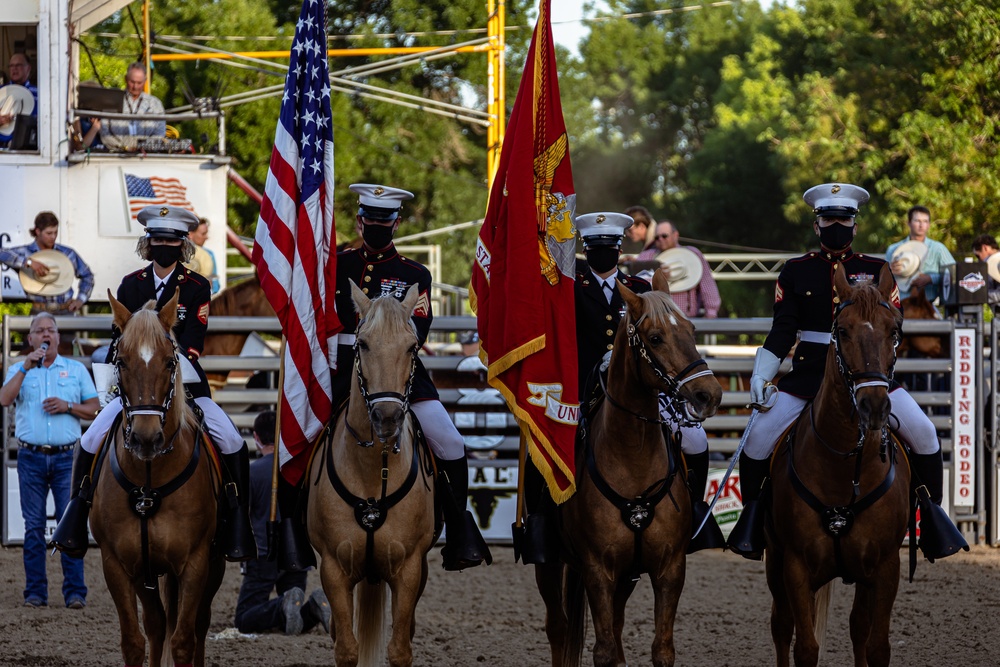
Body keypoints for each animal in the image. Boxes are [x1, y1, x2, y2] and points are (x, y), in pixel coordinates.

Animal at [90, 292, 227, 667]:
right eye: (121, 362)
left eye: (169, 362)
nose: (146, 438)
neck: (149, 484)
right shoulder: (119, 565)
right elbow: (135, 641)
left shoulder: (195, 563)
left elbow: (183, 642)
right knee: (156, 625)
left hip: (215, 566)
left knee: (198, 626)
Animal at [306, 284, 436, 667]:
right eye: (362, 344)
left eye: (412, 346)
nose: (388, 418)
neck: (372, 470)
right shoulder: (334, 568)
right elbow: (347, 649)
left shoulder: (408, 569)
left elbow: (400, 650)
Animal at [536, 272, 724, 667]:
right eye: (655, 338)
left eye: (691, 329)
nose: (709, 394)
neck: (632, 459)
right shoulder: (598, 570)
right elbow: (604, 651)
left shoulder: (669, 568)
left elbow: (661, 650)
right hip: (549, 564)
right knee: (558, 629)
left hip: (627, 577)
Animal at [760, 262, 912, 667]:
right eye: (842, 330)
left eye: (893, 330)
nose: (874, 407)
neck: (845, 463)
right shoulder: (796, 566)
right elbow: (805, 648)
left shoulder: (885, 567)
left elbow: (876, 645)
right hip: (774, 562)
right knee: (780, 626)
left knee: (858, 627)